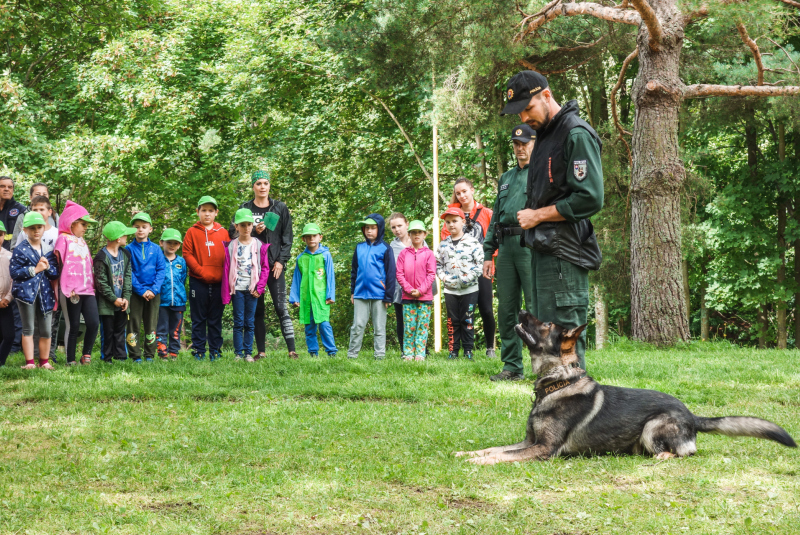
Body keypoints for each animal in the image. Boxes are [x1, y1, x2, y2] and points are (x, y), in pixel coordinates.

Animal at [454, 312, 796, 466]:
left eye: (546, 325)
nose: (522, 312)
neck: (559, 382)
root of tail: (692, 415)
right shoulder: (529, 441)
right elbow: (496, 449)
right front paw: (467, 453)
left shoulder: (544, 449)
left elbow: (503, 456)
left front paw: (478, 462)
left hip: (653, 426)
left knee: (680, 453)